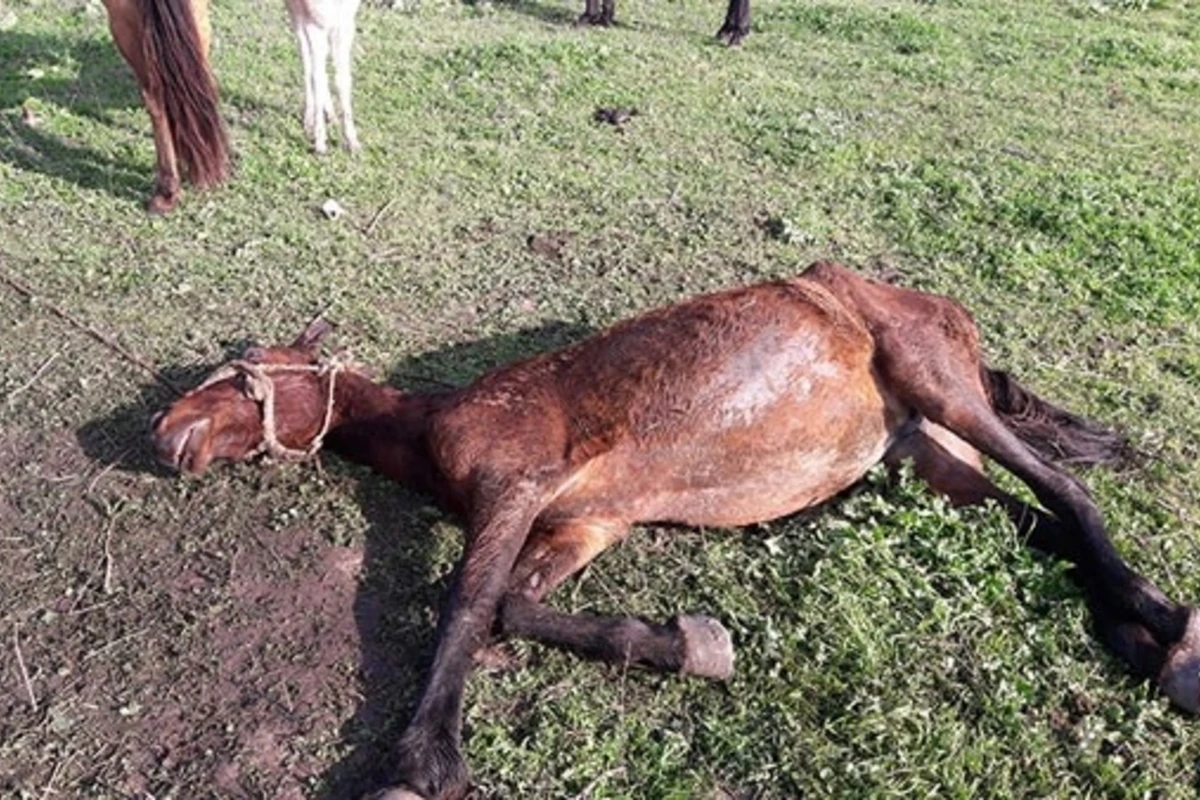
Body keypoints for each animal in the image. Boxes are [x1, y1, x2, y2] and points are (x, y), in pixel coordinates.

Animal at [150, 260, 1200, 796]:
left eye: (242, 371)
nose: (164, 433)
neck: (437, 423)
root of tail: (935, 302)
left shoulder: (514, 488)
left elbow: (465, 610)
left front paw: (419, 764)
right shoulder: (586, 525)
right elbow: (516, 612)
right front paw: (687, 644)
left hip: (936, 380)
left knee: (1071, 495)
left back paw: (1175, 641)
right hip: (920, 451)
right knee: (1045, 528)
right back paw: (1141, 635)